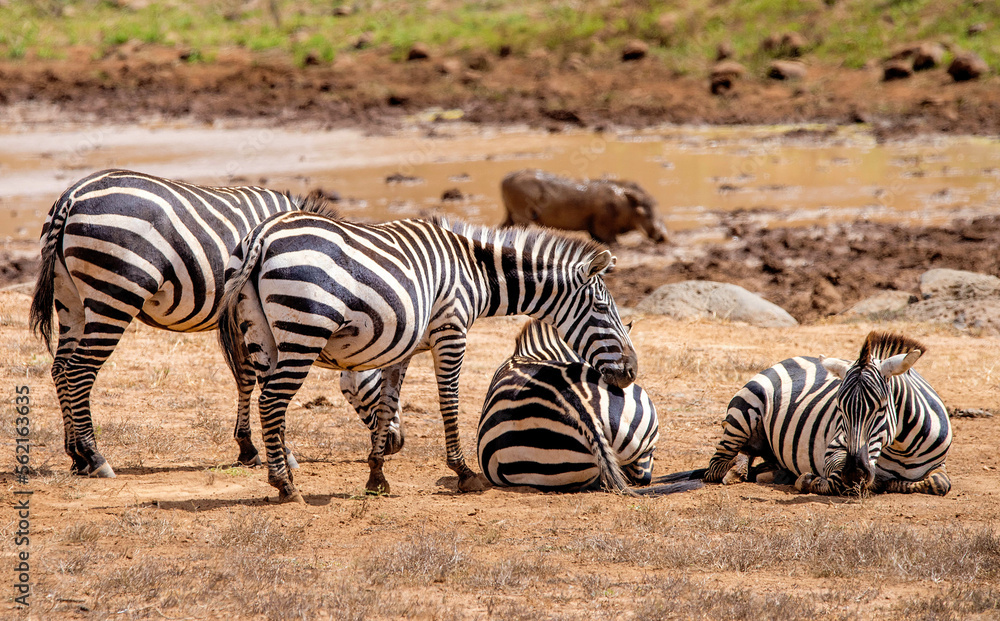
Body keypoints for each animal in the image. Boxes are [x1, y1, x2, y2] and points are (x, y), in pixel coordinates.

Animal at [27, 168, 401, 478]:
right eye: (376, 388)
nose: (396, 445)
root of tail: (71, 195)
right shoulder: (247, 315)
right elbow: (254, 378)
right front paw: (276, 451)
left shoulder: (245, 317)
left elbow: (246, 379)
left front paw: (249, 448)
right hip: (114, 294)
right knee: (80, 370)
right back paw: (95, 457)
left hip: (70, 299)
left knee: (60, 368)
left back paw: (76, 456)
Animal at [217, 213, 638, 502]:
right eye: (602, 308)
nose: (632, 372)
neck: (474, 271)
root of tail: (263, 232)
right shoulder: (451, 330)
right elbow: (449, 401)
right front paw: (464, 473)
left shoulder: (402, 348)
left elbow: (388, 404)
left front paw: (377, 476)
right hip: (304, 328)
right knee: (272, 401)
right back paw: (285, 485)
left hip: (261, 334)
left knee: (266, 399)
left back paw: (283, 473)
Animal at [703, 331, 952, 496]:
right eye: (840, 409)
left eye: (881, 408)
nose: (854, 472)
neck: (903, 448)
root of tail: (794, 357)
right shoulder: (835, 449)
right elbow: (838, 481)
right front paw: (807, 481)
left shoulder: (939, 466)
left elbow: (939, 483)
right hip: (743, 412)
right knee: (716, 466)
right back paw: (734, 472)